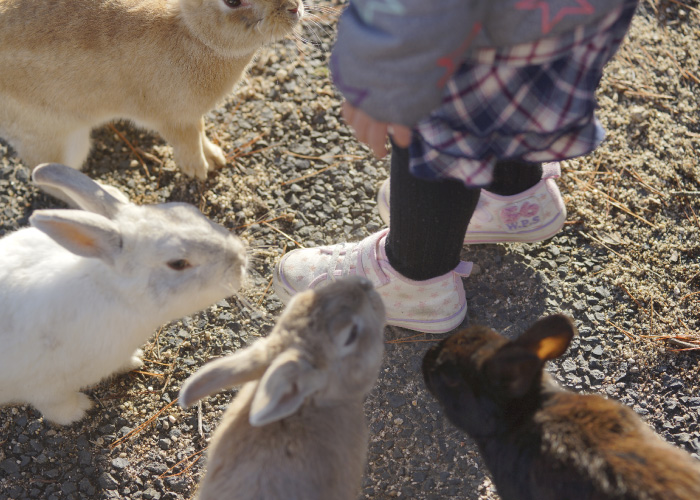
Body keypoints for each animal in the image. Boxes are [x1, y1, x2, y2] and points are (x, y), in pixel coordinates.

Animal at [0, 0, 304, 180]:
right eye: (232, 0)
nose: (294, 8)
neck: (194, 32)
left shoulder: (191, 116)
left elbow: (201, 133)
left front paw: (215, 157)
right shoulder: (173, 118)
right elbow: (188, 141)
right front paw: (199, 171)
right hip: (59, 141)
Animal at [0, 162, 249, 424]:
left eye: (188, 209)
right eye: (178, 263)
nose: (241, 260)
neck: (114, 292)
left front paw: (135, 359)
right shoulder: (46, 386)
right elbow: (56, 407)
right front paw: (80, 410)